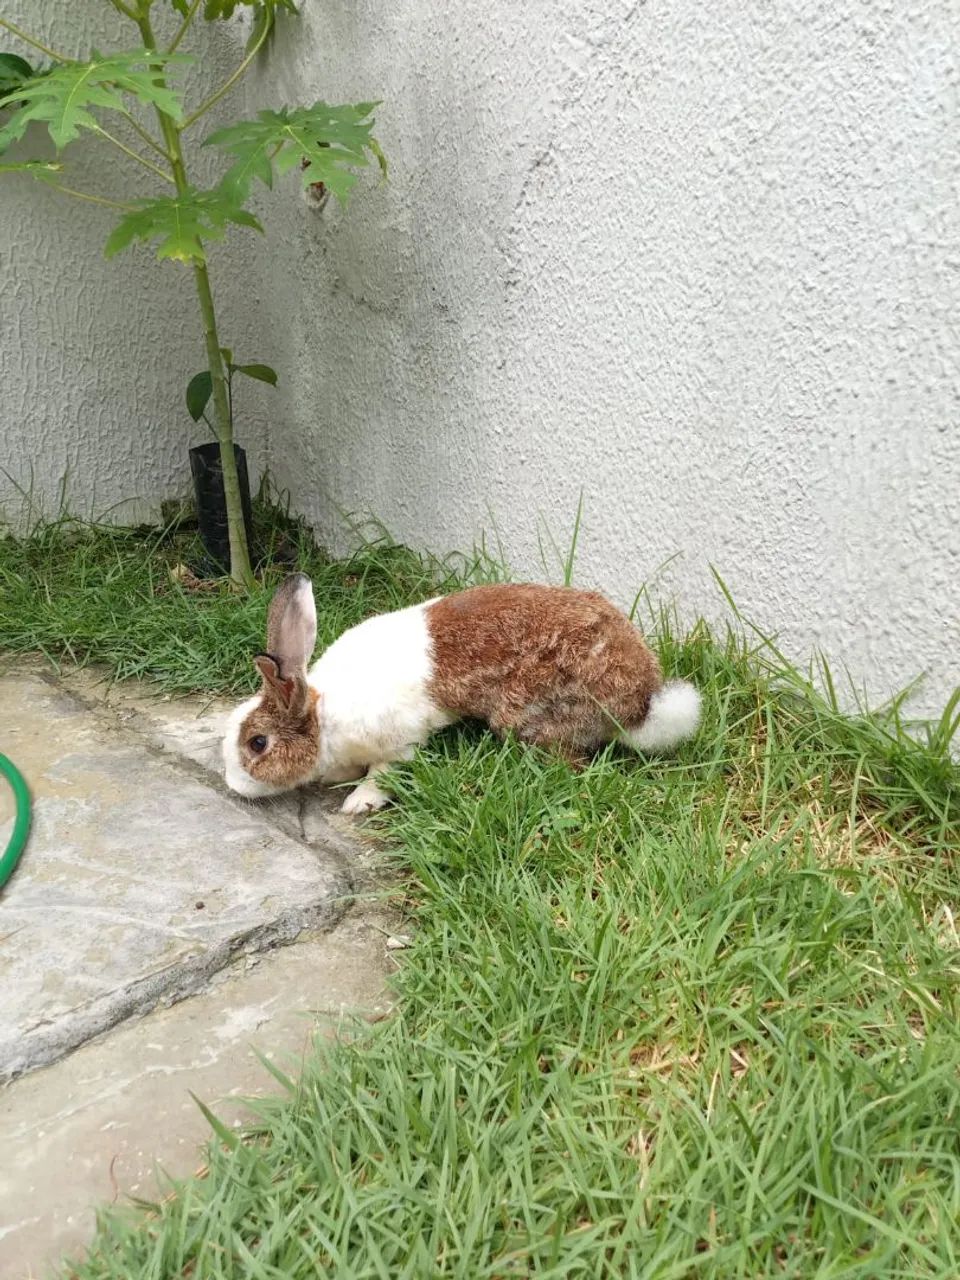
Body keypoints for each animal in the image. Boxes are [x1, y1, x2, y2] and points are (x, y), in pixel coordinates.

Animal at [223, 573, 701, 814]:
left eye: (258, 743)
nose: (231, 784)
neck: (324, 720)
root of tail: (640, 705)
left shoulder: (400, 743)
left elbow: (383, 774)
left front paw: (358, 803)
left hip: (528, 714)